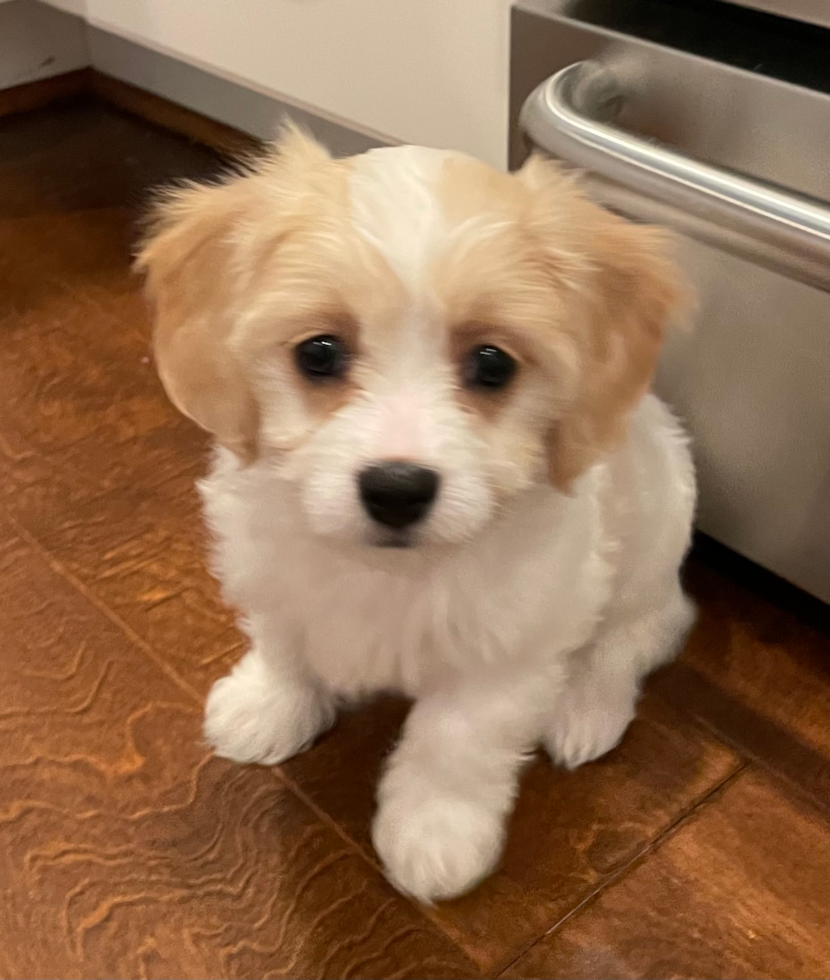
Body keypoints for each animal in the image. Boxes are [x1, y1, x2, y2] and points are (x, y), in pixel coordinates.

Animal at [136, 128, 696, 904]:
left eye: (492, 364)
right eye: (319, 353)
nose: (397, 488)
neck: (392, 569)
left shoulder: (507, 648)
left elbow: (454, 740)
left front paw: (435, 834)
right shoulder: (273, 577)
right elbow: (284, 645)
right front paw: (269, 707)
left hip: (654, 538)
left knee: (642, 632)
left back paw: (588, 708)